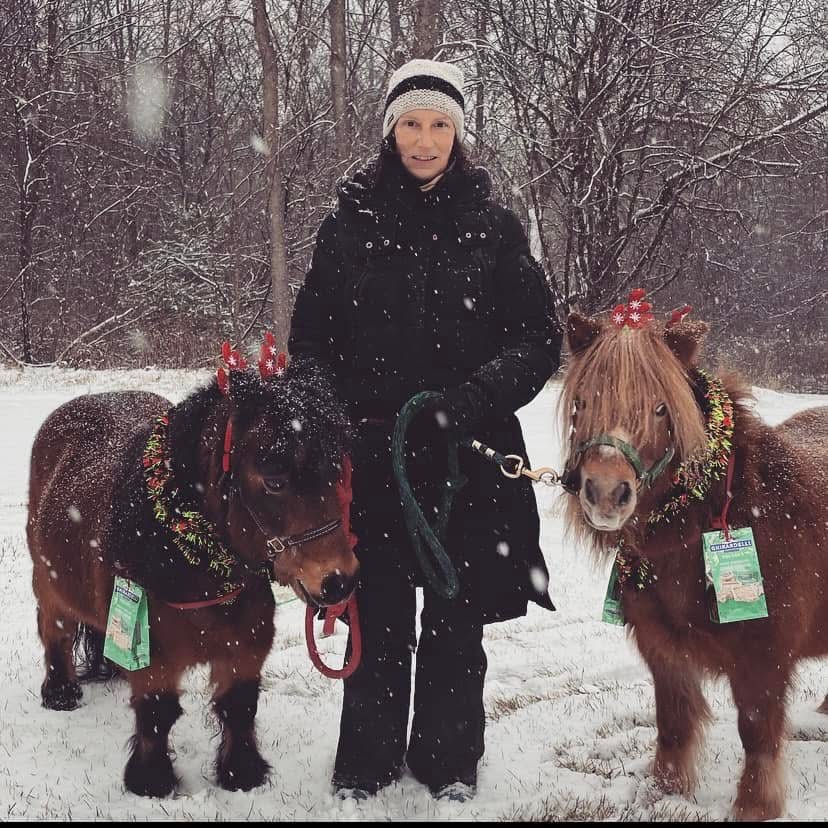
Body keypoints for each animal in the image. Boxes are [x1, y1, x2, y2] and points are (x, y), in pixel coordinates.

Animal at [27, 346, 359, 797]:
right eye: (274, 480)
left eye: (336, 470)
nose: (339, 579)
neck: (191, 555)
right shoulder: (154, 655)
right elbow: (157, 713)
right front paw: (151, 781)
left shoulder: (247, 645)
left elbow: (238, 706)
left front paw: (242, 773)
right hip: (48, 585)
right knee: (55, 632)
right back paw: (60, 693)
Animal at [559, 293, 828, 821]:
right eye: (581, 403)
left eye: (662, 408)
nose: (605, 495)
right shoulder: (662, 648)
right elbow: (674, 722)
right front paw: (666, 791)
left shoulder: (763, 657)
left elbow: (757, 732)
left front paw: (755, 806)